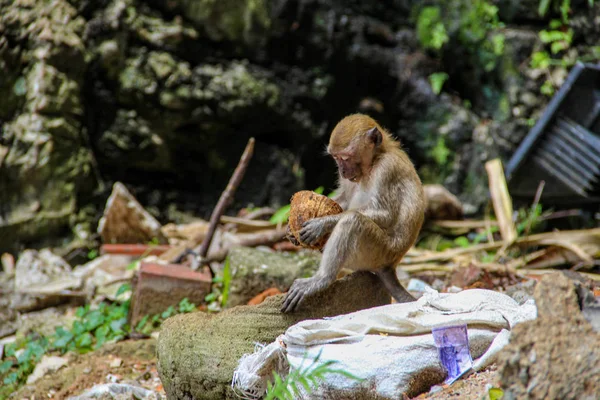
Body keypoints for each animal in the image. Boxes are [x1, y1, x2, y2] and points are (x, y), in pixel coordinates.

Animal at [282, 114, 426, 314]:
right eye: (336, 158)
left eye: (346, 157)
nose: (342, 171)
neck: (374, 160)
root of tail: (390, 266)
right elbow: (343, 199)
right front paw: (290, 229)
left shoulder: (387, 169)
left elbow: (385, 213)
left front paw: (322, 223)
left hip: (379, 252)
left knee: (353, 221)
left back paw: (322, 279)